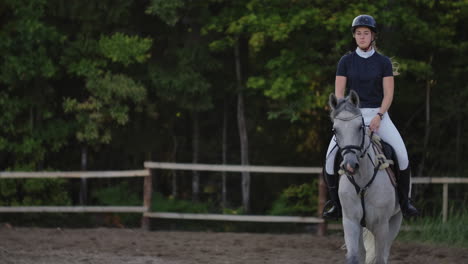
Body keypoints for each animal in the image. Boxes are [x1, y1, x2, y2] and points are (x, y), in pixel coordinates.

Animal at [330, 89, 402, 262]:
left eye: (359, 127)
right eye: (335, 130)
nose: (350, 165)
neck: (362, 181)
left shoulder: (382, 225)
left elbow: (380, 258)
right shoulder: (350, 222)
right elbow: (354, 257)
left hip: (395, 221)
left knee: (385, 253)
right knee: (362, 253)